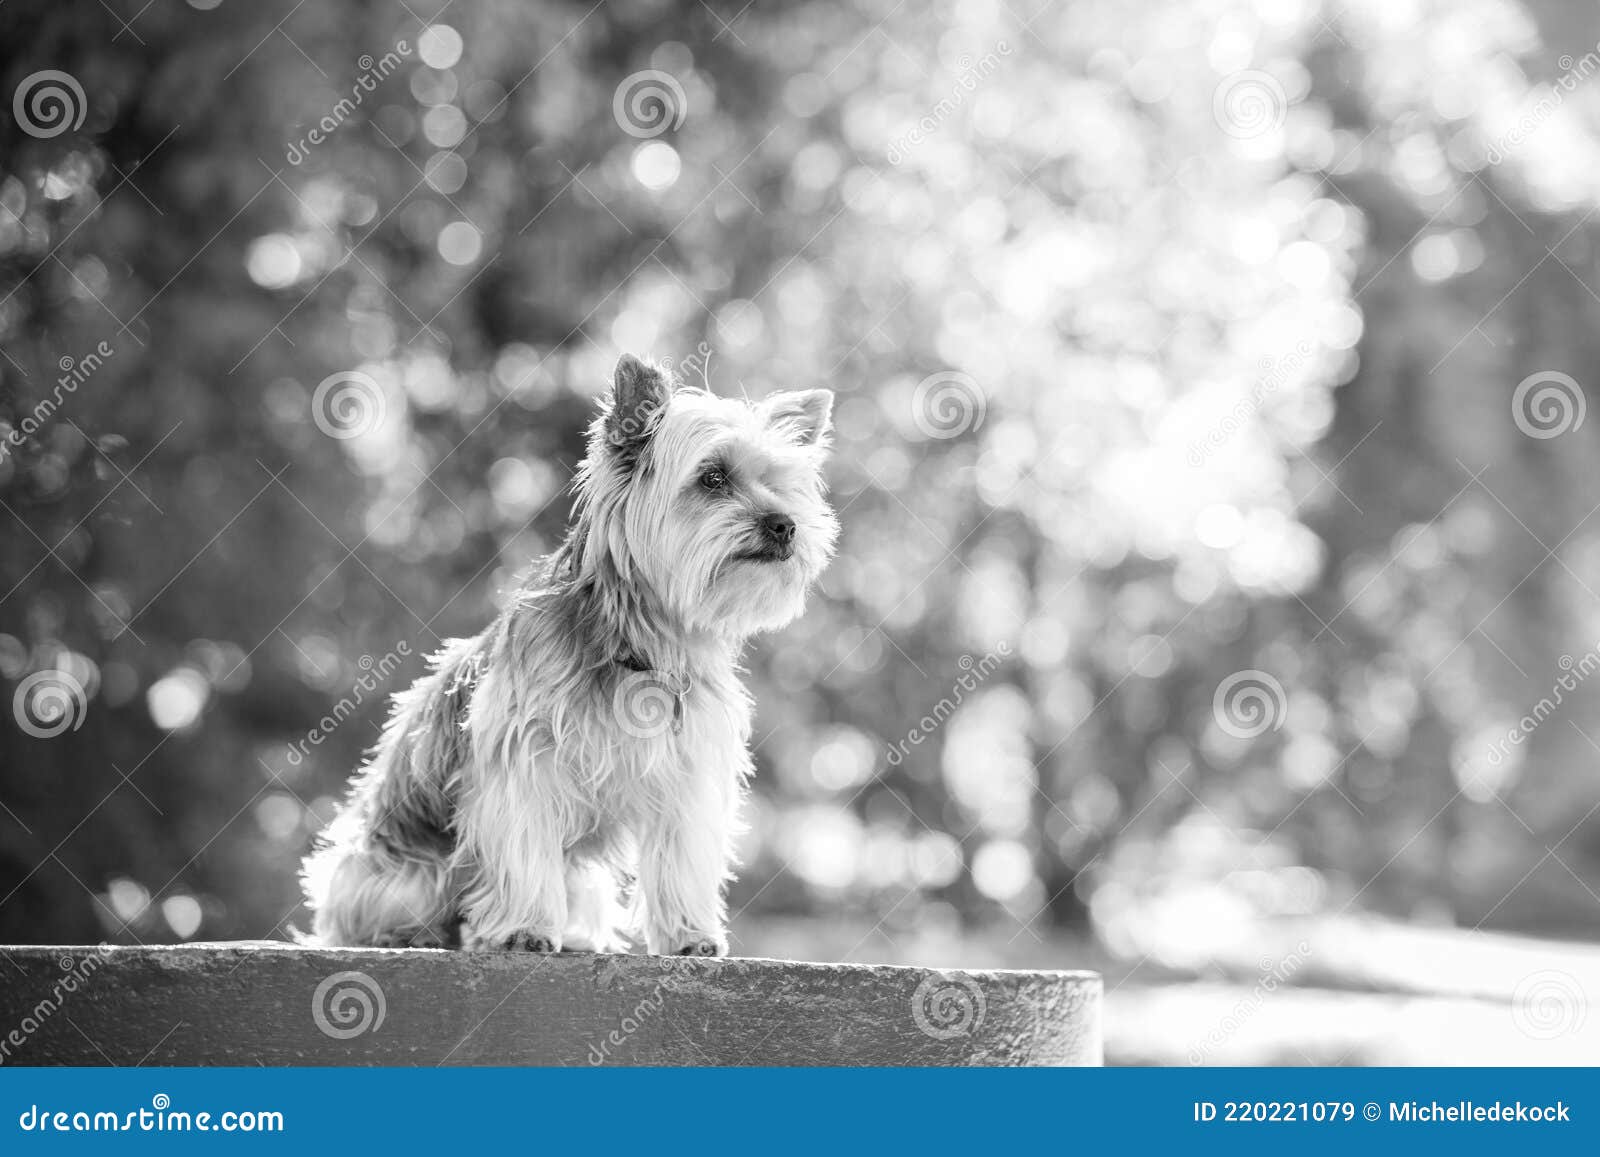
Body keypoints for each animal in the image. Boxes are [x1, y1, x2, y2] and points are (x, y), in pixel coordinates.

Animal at [304, 356, 844, 953]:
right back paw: (411, 934)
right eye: (713, 477)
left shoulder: (690, 768)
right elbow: (523, 842)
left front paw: (689, 935)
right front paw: (523, 928)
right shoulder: (523, 752)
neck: (642, 641)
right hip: (393, 873)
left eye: (780, 484)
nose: (785, 525)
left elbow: (682, 856)